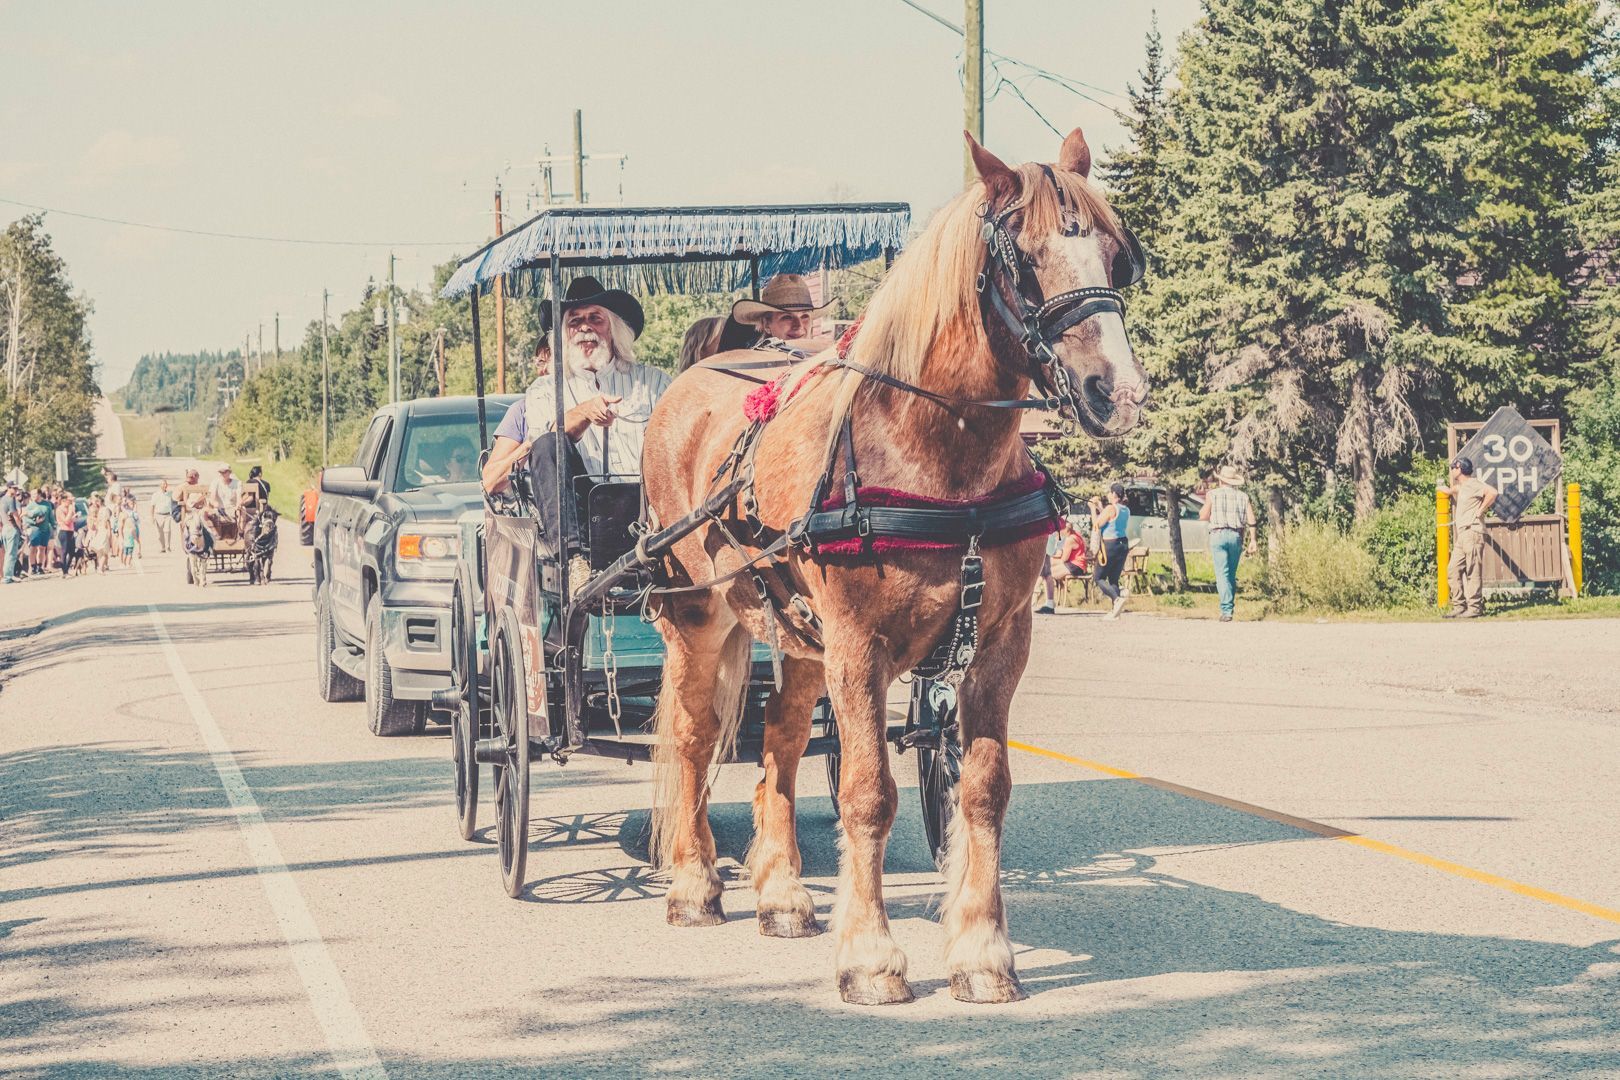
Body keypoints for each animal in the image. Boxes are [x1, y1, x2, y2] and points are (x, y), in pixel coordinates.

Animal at [639, 128, 1150, 1005]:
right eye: (1023, 258)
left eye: (1118, 257)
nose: (1116, 392)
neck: (939, 454)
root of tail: (693, 382)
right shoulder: (859, 645)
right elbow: (867, 793)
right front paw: (872, 957)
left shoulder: (998, 645)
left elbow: (982, 789)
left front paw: (982, 952)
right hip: (699, 617)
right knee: (693, 738)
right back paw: (695, 884)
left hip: (798, 635)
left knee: (778, 742)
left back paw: (782, 894)